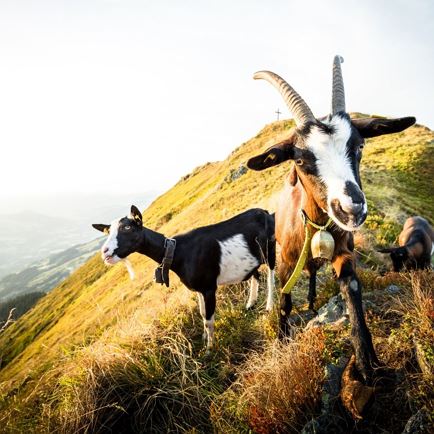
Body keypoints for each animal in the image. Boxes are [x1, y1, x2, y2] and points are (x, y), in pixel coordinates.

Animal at [92, 206, 274, 350]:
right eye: (108, 232)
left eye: (128, 227)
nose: (105, 252)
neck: (177, 252)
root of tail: (264, 212)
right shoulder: (198, 289)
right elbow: (202, 313)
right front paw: (204, 339)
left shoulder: (209, 288)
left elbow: (208, 320)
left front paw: (210, 349)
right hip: (252, 259)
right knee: (256, 274)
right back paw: (250, 303)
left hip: (269, 249)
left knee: (271, 276)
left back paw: (269, 306)